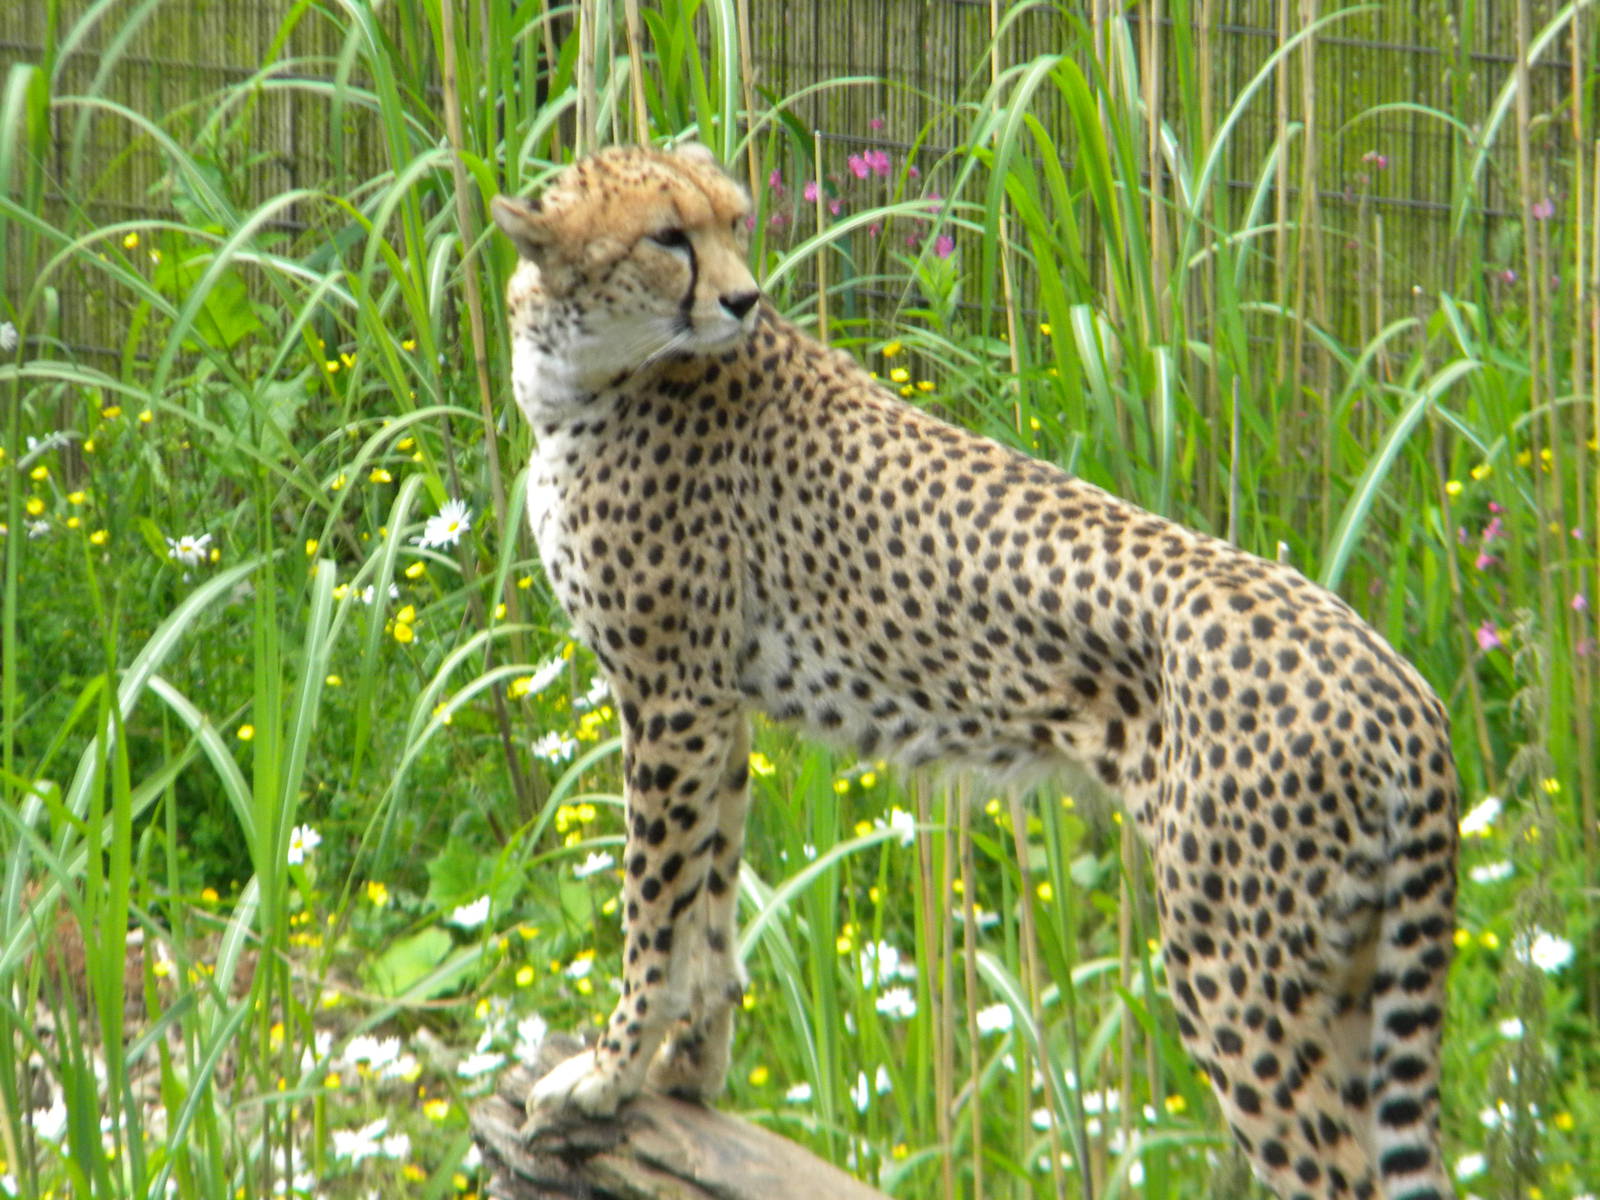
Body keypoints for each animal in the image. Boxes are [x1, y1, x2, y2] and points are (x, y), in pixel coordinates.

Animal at [489, 143, 1459, 1200]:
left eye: (733, 223)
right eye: (668, 236)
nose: (746, 298)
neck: (583, 370)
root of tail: (1398, 683)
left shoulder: (672, 699)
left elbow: (655, 908)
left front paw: (610, 1073)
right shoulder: (713, 709)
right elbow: (709, 904)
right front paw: (685, 1073)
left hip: (1237, 975)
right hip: (1347, 969)